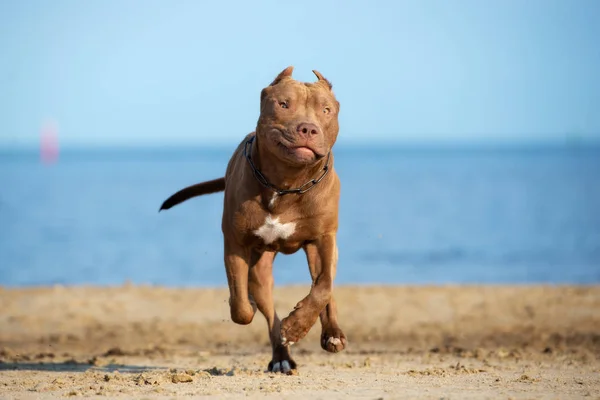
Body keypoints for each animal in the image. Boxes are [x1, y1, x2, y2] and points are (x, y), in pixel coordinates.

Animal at [159, 65, 346, 372]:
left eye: (326, 110)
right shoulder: (236, 244)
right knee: (269, 315)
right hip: (261, 270)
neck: (287, 183)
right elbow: (240, 306)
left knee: (323, 288)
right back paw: (281, 357)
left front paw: (298, 326)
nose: (308, 127)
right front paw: (254, 308)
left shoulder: (324, 240)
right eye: (284, 104)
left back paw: (331, 334)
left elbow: (324, 286)